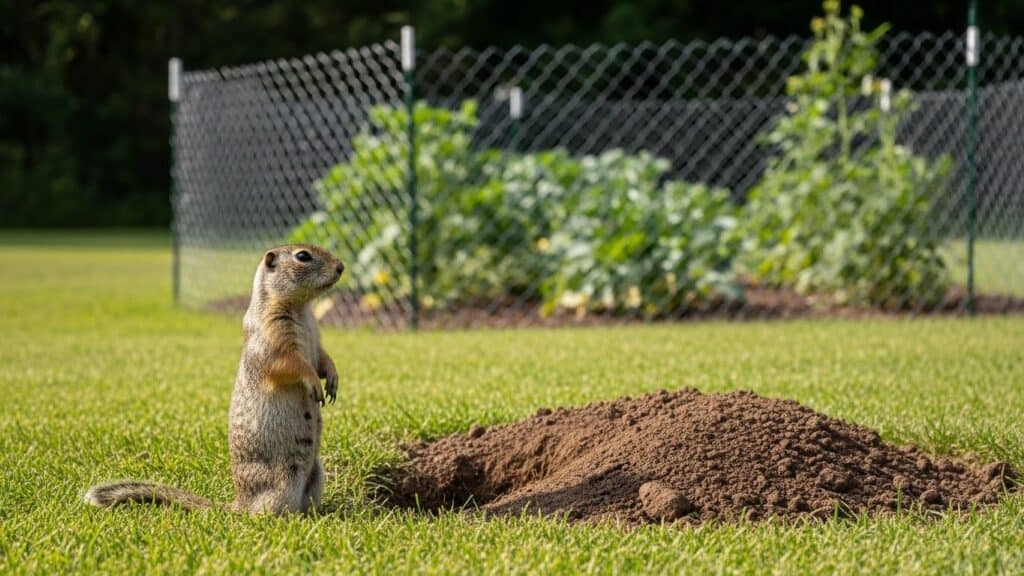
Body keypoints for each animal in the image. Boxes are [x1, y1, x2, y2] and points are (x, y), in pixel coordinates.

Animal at [85, 245, 344, 514]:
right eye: (302, 256)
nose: (341, 266)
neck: (302, 309)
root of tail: (240, 503)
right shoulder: (272, 338)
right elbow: (290, 364)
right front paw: (314, 382)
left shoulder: (316, 339)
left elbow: (322, 358)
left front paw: (333, 378)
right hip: (285, 481)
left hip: (317, 472)